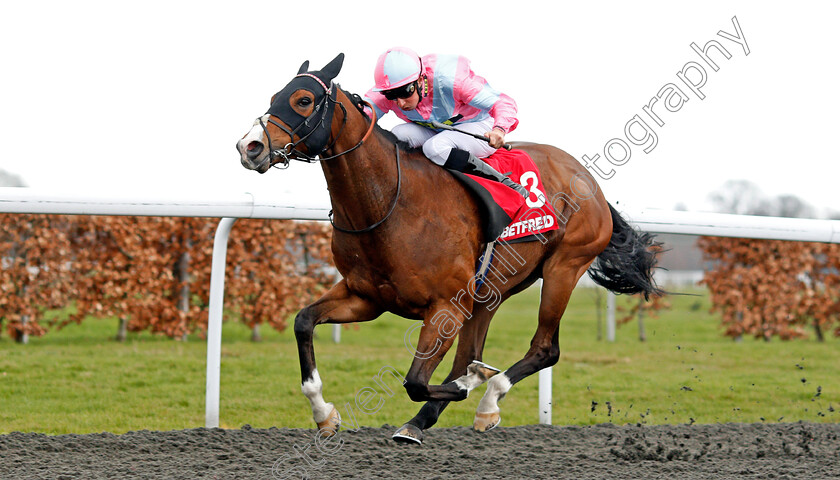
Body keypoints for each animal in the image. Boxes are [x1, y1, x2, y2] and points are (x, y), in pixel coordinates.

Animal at [236, 54, 664, 444]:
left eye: (303, 100)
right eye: (274, 96)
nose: (249, 146)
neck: (389, 203)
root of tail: (589, 181)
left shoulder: (444, 306)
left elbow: (415, 380)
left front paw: (472, 382)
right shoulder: (365, 297)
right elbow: (303, 321)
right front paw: (324, 414)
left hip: (563, 268)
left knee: (545, 349)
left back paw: (487, 400)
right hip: (488, 293)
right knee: (473, 350)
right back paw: (426, 418)